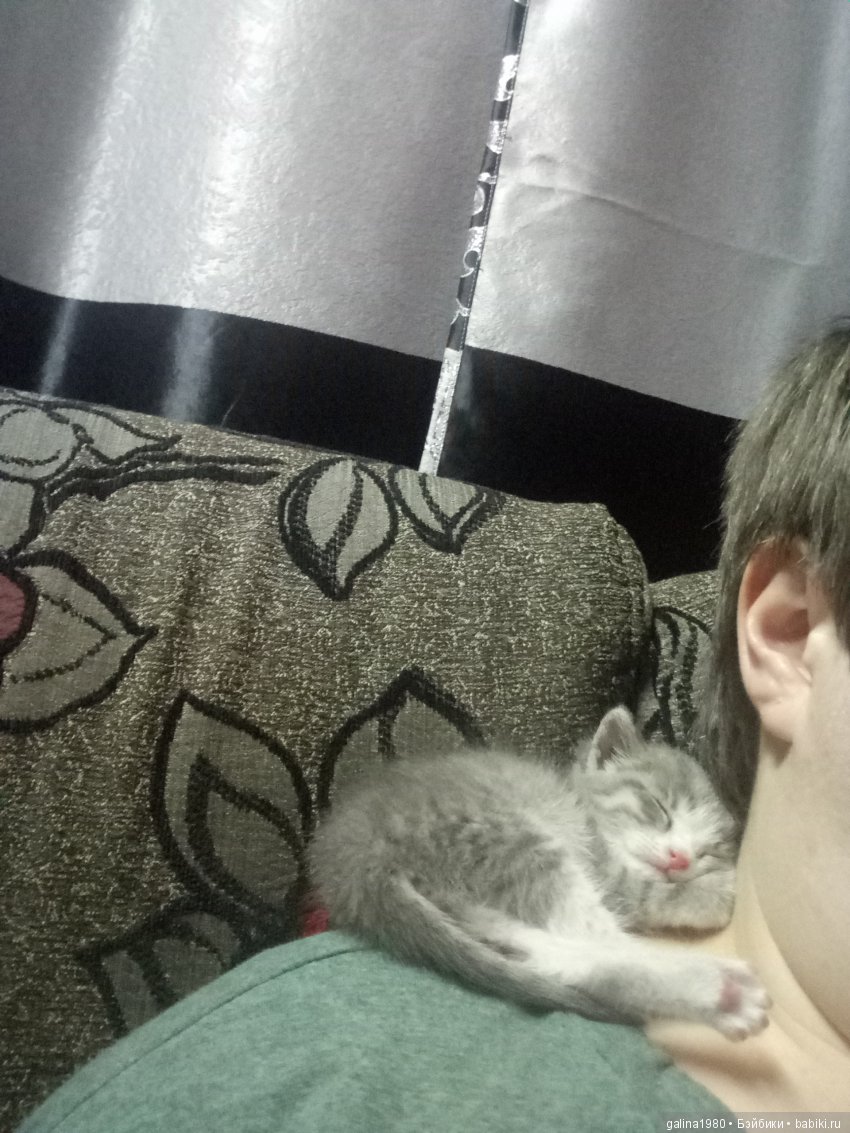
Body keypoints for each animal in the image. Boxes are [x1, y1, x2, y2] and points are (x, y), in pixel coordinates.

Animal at [308, 706, 769, 1040]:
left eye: (710, 850)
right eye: (660, 808)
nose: (681, 859)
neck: (581, 803)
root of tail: (355, 860)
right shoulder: (599, 859)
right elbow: (645, 891)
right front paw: (716, 893)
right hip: (513, 838)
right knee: (601, 939)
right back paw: (718, 991)